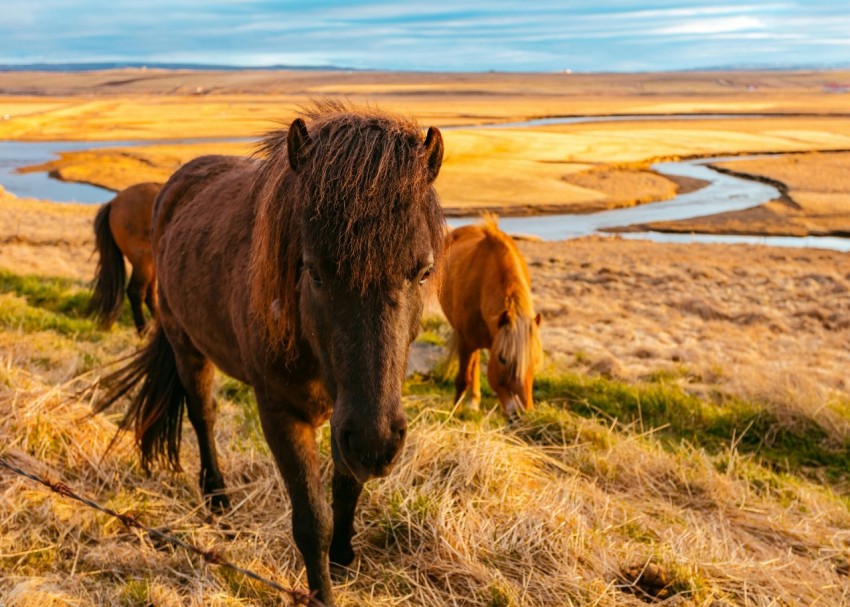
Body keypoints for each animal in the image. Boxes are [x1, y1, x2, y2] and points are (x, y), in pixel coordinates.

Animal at [438, 216, 542, 417]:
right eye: (502, 359)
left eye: (534, 361)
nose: (522, 414)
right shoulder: (466, 342)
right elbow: (462, 379)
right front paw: (454, 413)